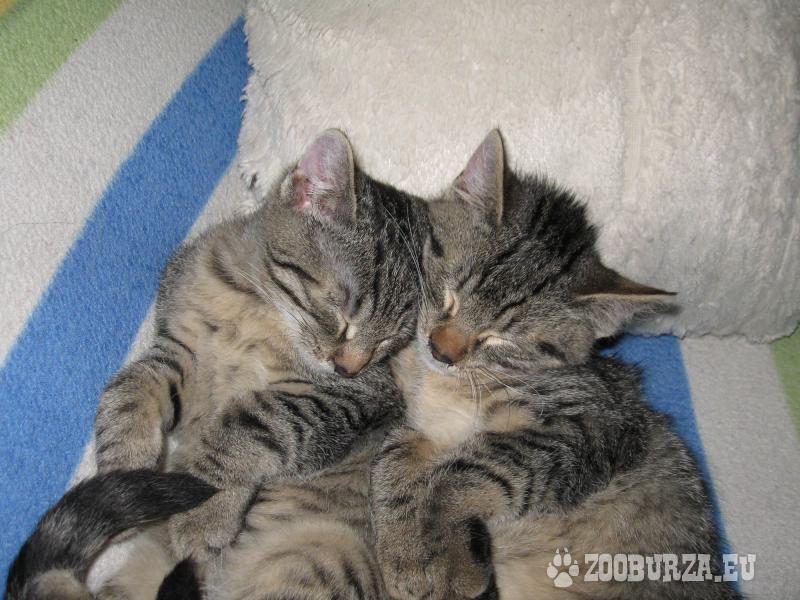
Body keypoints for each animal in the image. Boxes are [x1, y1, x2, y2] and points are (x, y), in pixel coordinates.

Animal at [369, 130, 741, 600]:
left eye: (500, 338)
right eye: (450, 294)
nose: (441, 351)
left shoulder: (590, 427)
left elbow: (465, 472)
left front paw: (447, 554)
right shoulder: (420, 421)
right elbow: (391, 457)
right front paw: (405, 553)